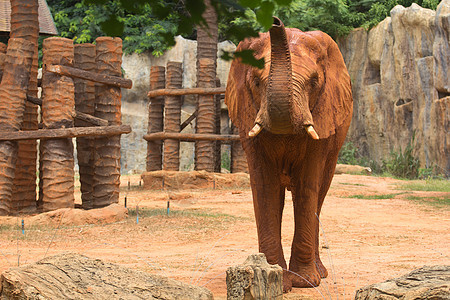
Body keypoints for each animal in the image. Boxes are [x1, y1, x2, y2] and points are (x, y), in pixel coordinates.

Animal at [224, 17, 352, 292]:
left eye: (314, 82)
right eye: (257, 82)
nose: (275, 20)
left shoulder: (323, 116)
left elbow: (306, 185)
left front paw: (305, 282)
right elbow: (265, 187)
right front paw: (276, 280)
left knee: (319, 195)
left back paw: (320, 273)